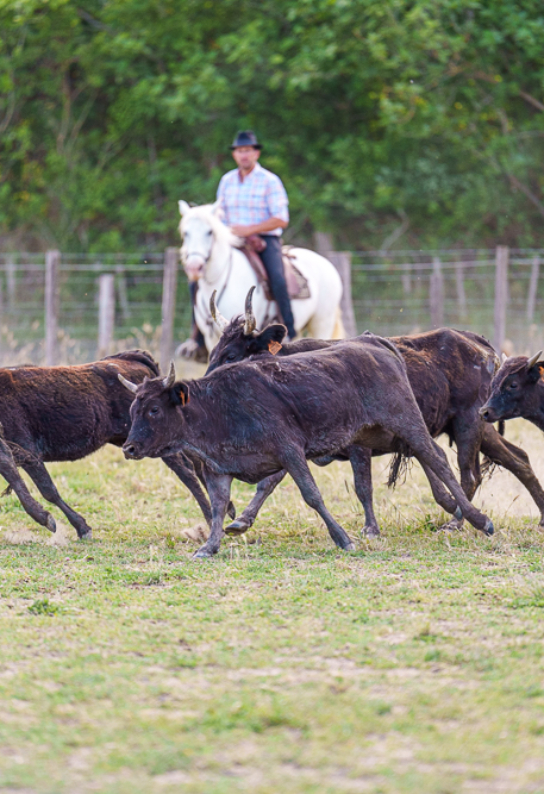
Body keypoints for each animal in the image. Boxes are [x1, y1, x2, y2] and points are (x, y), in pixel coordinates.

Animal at [0, 350, 212, 536]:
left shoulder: (28, 452)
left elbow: (46, 489)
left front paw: (70, 525)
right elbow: (21, 480)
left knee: (186, 470)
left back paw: (210, 519)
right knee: (196, 461)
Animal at [122, 336, 492, 556]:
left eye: (154, 409)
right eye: (133, 408)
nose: (129, 448)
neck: (218, 406)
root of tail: (376, 345)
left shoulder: (291, 452)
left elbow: (312, 496)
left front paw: (343, 538)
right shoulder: (218, 469)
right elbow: (218, 507)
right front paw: (210, 545)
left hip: (407, 422)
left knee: (440, 459)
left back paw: (476, 519)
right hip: (375, 435)